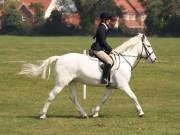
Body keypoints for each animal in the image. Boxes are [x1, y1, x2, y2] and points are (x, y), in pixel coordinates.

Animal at [18, 33, 156, 118]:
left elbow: (103, 99)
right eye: (149, 46)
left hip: (72, 82)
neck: (123, 60)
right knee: (52, 95)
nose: (155, 59)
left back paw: (83, 114)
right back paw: (42, 115)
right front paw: (141, 112)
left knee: (73, 98)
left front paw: (95, 112)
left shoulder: (110, 86)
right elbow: (133, 97)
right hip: (61, 83)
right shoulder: (123, 85)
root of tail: (60, 57)